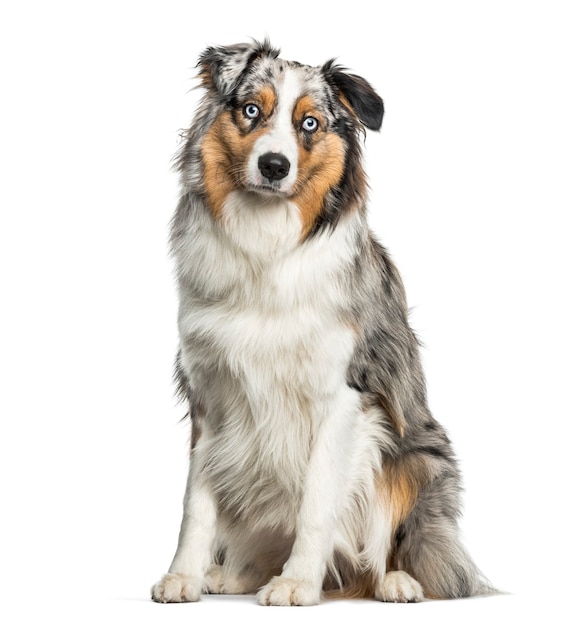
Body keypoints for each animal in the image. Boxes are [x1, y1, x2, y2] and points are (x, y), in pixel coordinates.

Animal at [151, 39, 492, 604]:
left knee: (392, 546)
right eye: (251, 111)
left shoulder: (345, 396)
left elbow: (316, 500)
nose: (273, 165)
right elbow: (195, 504)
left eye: (309, 123)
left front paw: (297, 583)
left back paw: (394, 580)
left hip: (415, 458)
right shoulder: (210, 393)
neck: (267, 248)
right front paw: (184, 575)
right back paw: (231, 575)